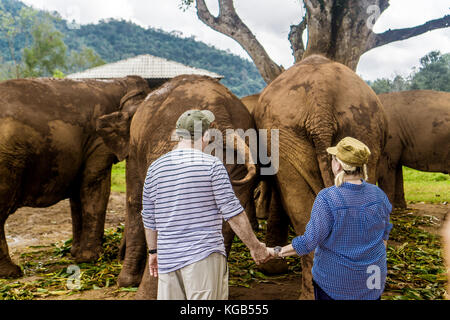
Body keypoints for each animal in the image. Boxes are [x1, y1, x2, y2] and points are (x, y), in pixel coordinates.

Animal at [0, 75, 151, 278]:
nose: (120, 255)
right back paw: (11, 272)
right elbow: (94, 185)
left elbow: (77, 195)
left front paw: (75, 254)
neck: (120, 82)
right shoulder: (97, 142)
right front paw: (90, 258)